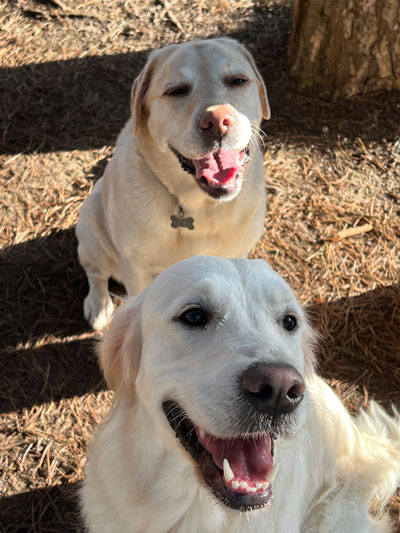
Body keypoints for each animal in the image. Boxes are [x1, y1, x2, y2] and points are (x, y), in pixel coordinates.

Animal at [76, 38, 268, 328]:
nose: (217, 122)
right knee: (95, 273)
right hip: (91, 223)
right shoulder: (138, 269)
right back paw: (98, 306)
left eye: (238, 80)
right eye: (176, 91)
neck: (199, 207)